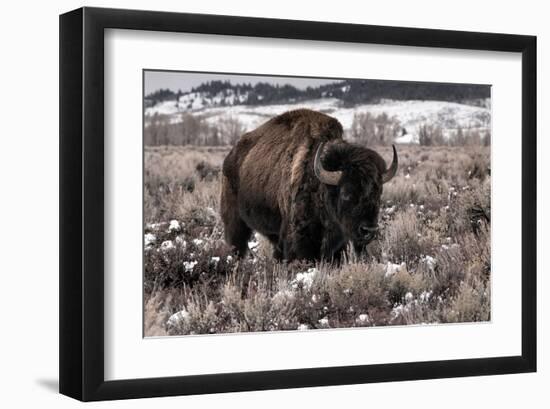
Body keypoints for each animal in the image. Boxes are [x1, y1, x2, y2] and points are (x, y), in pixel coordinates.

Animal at [222, 108, 398, 262]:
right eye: (346, 193)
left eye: (378, 193)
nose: (369, 230)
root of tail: (231, 156)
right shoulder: (300, 237)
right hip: (235, 222)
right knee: (237, 244)